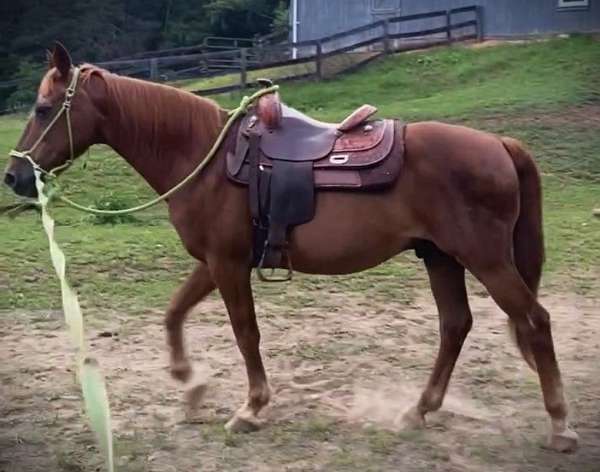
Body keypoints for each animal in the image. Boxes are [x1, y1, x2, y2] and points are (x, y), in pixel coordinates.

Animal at [3, 45, 576, 454]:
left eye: (43, 108)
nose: (13, 177)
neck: (204, 157)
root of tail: (499, 144)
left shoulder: (229, 264)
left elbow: (245, 333)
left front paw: (251, 408)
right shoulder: (214, 262)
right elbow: (174, 313)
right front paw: (191, 386)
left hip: (485, 259)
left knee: (535, 321)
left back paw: (560, 426)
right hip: (440, 257)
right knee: (456, 324)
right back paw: (417, 411)